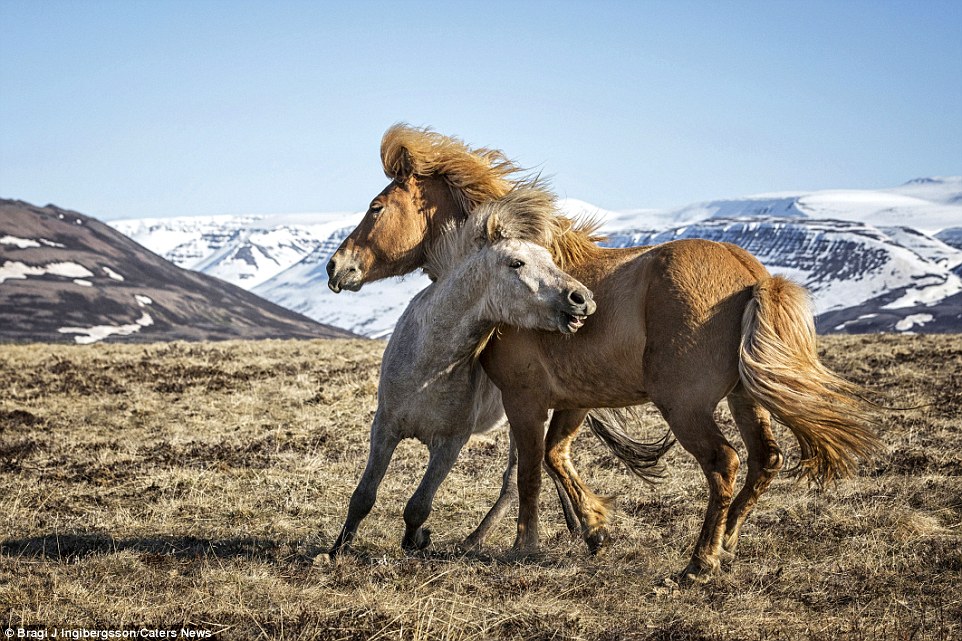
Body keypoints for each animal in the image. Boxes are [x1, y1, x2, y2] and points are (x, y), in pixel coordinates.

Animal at [326, 124, 880, 580]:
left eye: (376, 207)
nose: (337, 267)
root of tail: (752, 275)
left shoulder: (525, 400)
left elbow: (530, 473)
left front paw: (526, 547)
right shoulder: (573, 401)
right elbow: (556, 457)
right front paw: (594, 530)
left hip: (686, 405)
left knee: (724, 463)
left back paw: (699, 563)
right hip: (746, 398)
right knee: (766, 460)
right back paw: (726, 546)